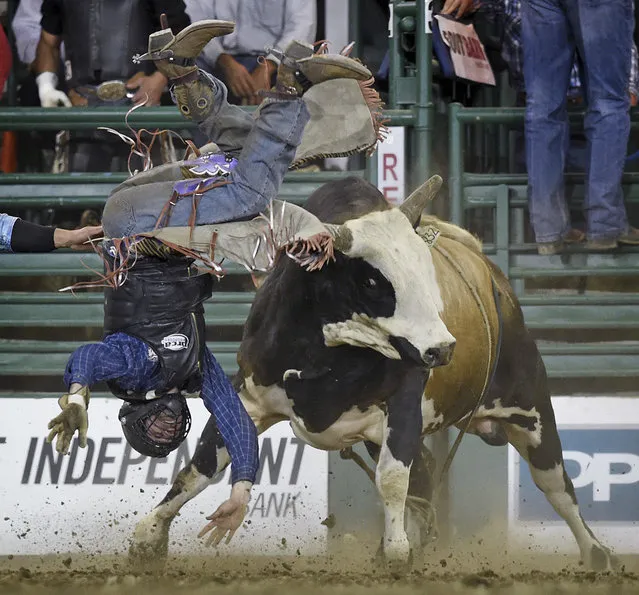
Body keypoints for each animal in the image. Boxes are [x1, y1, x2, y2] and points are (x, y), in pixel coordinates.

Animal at [129, 175, 616, 572]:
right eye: (372, 281)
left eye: (425, 268)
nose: (443, 348)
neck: (323, 352)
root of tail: (494, 277)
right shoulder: (249, 395)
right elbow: (203, 463)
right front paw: (149, 535)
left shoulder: (403, 404)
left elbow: (392, 478)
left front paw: (396, 552)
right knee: (427, 472)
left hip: (530, 408)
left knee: (556, 483)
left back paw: (596, 553)